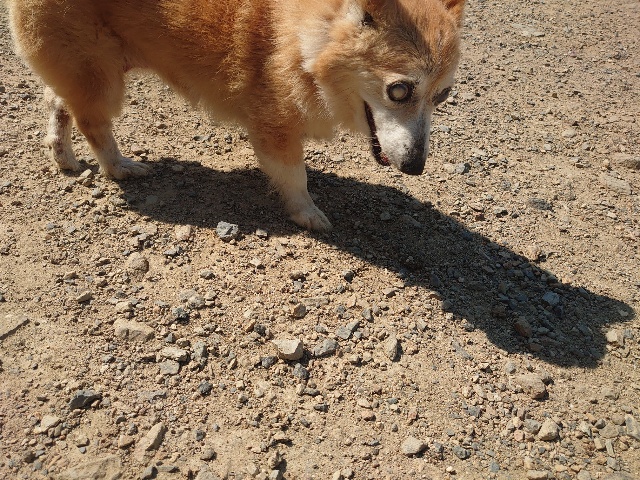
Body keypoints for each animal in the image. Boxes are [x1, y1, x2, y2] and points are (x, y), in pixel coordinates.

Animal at [8, 0, 465, 230]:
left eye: (443, 96)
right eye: (399, 90)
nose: (416, 168)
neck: (303, 35)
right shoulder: (274, 126)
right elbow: (294, 176)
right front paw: (307, 213)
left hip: (89, 66)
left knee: (58, 101)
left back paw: (63, 155)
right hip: (100, 75)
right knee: (93, 122)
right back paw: (119, 166)